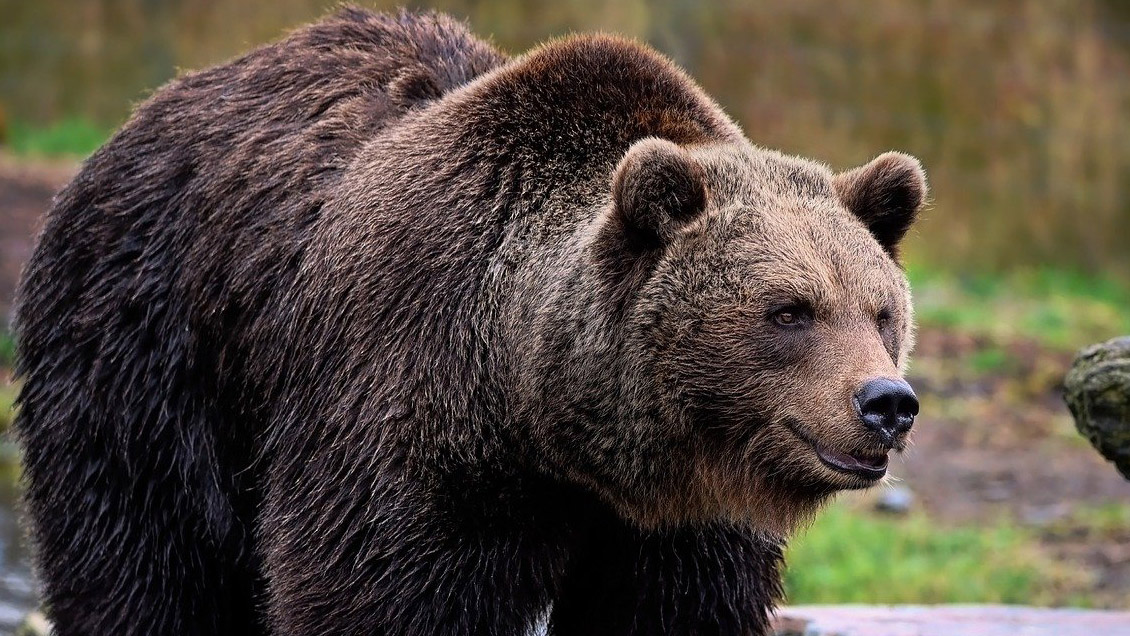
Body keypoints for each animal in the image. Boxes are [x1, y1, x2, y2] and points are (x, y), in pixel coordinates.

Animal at [14, 7, 925, 636]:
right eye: (790, 310)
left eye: (881, 312)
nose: (886, 403)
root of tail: (145, 113)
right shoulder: (405, 416)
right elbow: (376, 592)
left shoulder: (679, 528)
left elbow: (675, 607)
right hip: (148, 352)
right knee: (141, 561)